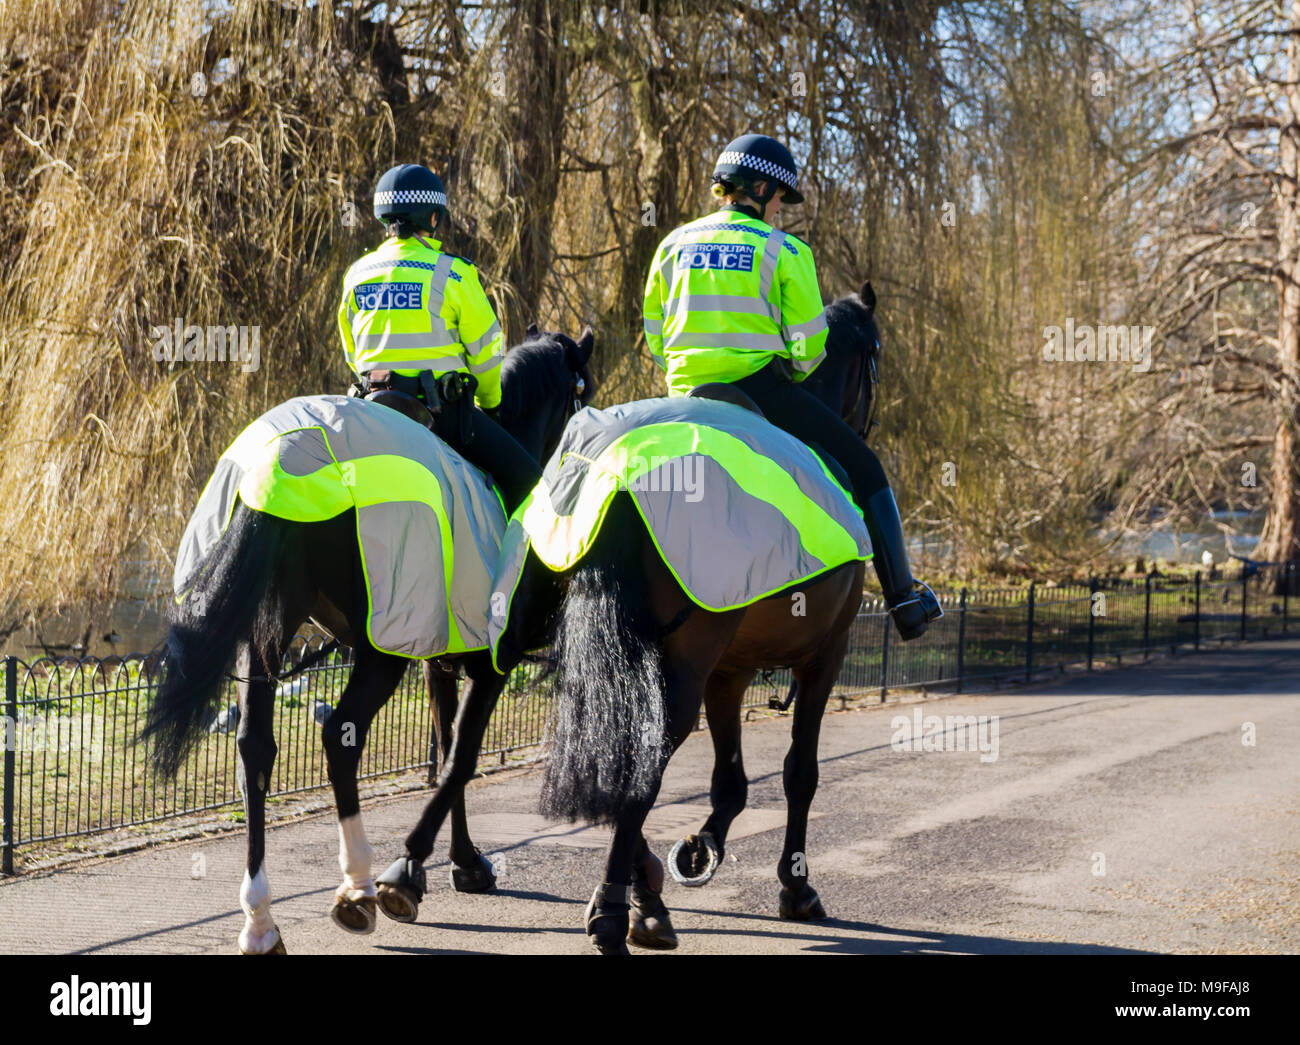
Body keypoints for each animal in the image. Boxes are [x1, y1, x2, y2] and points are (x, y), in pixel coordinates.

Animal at [139, 328, 595, 956]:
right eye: (582, 390)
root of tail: (279, 468)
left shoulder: (435, 655)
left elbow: (445, 746)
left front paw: (456, 862)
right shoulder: (488, 663)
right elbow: (461, 757)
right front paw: (409, 871)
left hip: (270, 632)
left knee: (255, 747)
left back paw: (260, 919)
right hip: (381, 647)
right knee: (340, 737)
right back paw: (356, 887)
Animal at [371, 282, 889, 951]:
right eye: (875, 355)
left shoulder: (729, 669)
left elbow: (730, 782)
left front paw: (693, 852)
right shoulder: (823, 654)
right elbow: (798, 772)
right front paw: (791, 886)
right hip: (677, 663)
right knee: (638, 765)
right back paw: (617, 909)